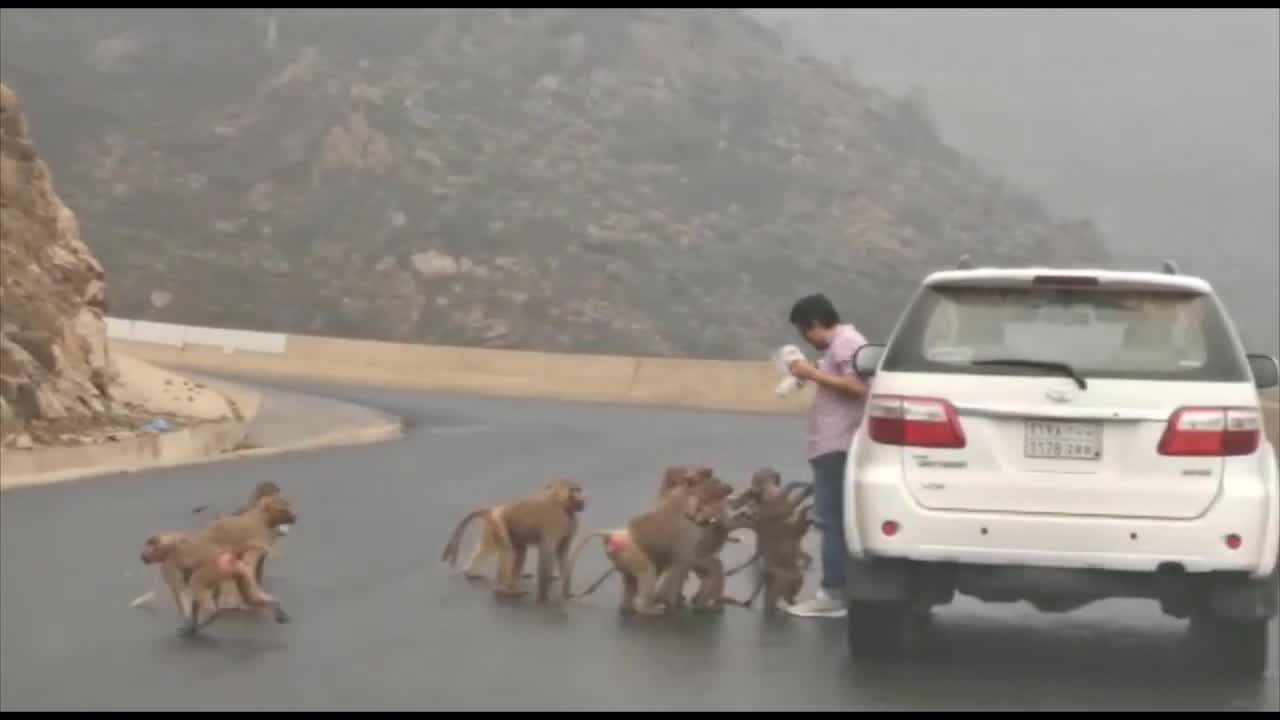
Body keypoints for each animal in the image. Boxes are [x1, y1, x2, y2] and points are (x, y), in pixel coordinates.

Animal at [138, 527, 291, 632]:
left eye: (147, 550)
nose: (143, 557)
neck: (168, 544)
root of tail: (231, 556)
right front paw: (191, 624)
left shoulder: (168, 565)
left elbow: (180, 590)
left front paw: (188, 623)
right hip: (240, 572)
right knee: (250, 598)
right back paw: (275, 606)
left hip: (212, 569)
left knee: (196, 581)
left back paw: (212, 613)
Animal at [437, 476, 583, 599]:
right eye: (574, 490)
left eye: (578, 489)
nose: (582, 500)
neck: (558, 502)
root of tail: (493, 510)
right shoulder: (557, 520)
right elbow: (547, 553)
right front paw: (544, 596)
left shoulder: (570, 524)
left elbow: (562, 553)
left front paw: (566, 592)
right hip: (498, 527)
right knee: (511, 551)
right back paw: (504, 590)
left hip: (494, 530)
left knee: (507, 550)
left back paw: (471, 572)